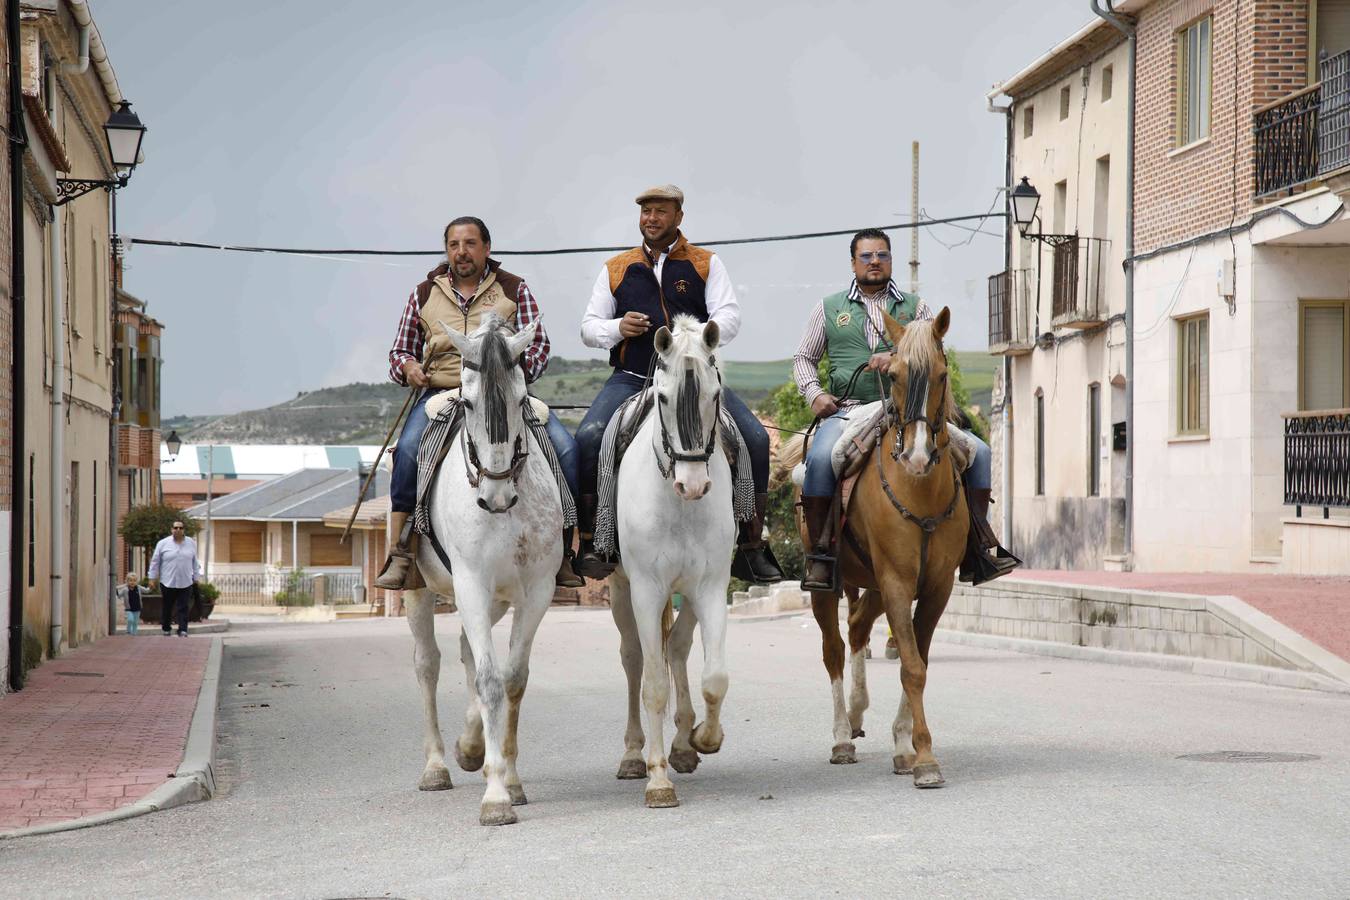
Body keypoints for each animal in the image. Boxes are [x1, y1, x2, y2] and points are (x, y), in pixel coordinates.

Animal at [405, 313, 564, 825]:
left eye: (520, 400)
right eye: (469, 401)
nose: (495, 496)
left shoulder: (536, 592)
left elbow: (511, 679)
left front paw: (506, 778)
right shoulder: (471, 583)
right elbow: (491, 681)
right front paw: (495, 798)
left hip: (493, 600)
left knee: (467, 651)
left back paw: (471, 747)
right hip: (420, 592)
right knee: (428, 664)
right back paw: (436, 766)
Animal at [612, 317, 739, 809]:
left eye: (715, 394)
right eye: (663, 398)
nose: (693, 485)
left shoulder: (712, 587)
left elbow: (714, 676)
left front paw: (704, 737)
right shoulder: (647, 591)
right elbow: (653, 685)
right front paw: (658, 780)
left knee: (678, 648)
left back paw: (684, 745)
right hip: (622, 590)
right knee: (634, 659)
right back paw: (634, 755)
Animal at [788, 307, 972, 788]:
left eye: (942, 374)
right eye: (894, 375)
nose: (918, 456)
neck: (920, 491)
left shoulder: (935, 588)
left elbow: (918, 661)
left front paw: (906, 747)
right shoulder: (897, 583)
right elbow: (911, 665)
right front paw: (924, 758)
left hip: (870, 584)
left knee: (856, 628)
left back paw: (856, 714)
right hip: (832, 584)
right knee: (834, 648)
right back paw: (841, 737)